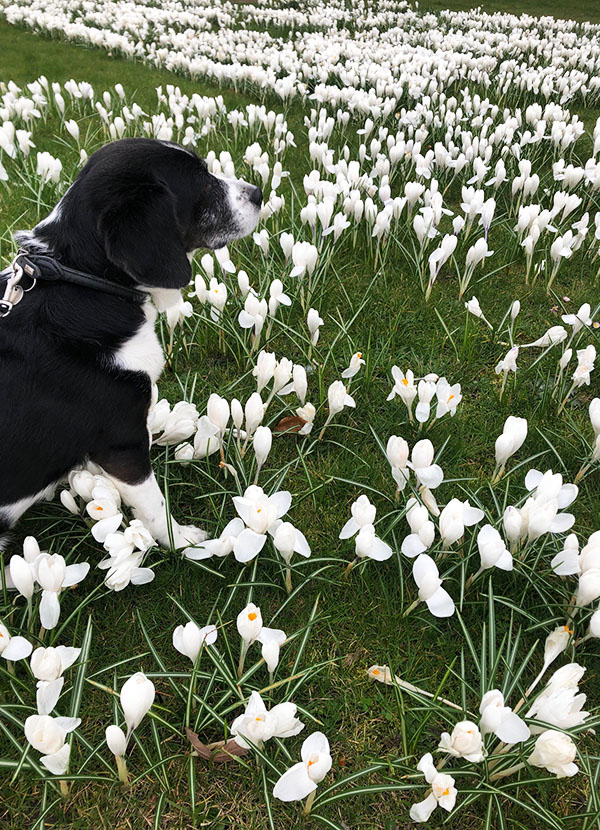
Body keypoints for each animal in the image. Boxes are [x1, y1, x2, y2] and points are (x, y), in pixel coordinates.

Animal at [0, 137, 262, 552]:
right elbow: (154, 506)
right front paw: (185, 543)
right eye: (201, 184)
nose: (259, 192)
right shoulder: (122, 444)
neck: (88, 281)